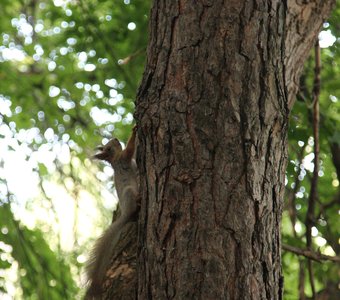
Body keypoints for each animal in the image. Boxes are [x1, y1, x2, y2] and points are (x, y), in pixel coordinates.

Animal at [85, 126, 139, 298]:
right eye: (108, 148)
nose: (115, 138)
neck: (115, 160)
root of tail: (126, 216)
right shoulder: (125, 157)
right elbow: (130, 147)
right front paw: (134, 129)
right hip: (129, 192)